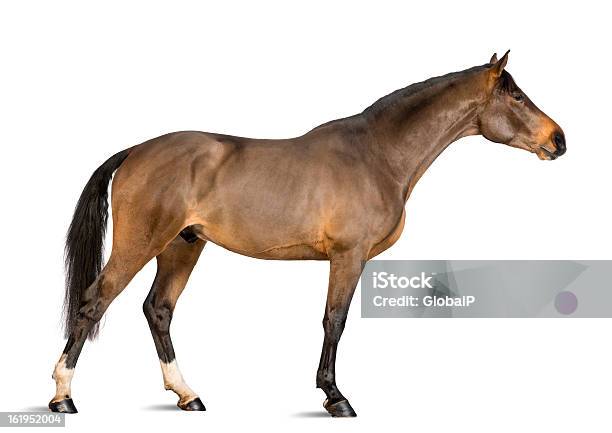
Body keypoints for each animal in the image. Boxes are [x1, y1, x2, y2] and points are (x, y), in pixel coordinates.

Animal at [50, 49, 568, 416]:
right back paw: (63, 396)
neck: (375, 154)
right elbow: (334, 321)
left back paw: (187, 395)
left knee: (158, 310)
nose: (558, 140)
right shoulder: (348, 257)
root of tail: (137, 150)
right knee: (95, 301)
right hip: (141, 244)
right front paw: (335, 397)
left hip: (183, 247)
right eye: (517, 96)